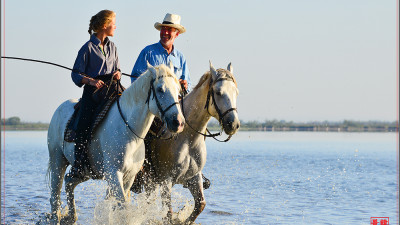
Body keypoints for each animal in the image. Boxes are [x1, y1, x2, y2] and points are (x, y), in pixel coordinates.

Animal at [47, 62, 184, 224]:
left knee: (69, 182)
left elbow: (116, 206)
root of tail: (59, 109)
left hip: (85, 170)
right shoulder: (114, 174)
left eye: (178, 91)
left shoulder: (129, 177)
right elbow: (123, 207)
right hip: (57, 161)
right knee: (55, 196)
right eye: (160, 89)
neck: (129, 131)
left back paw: (71, 217)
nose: (178, 122)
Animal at [141, 62, 239, 224]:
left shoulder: (194, 178)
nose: (233, 124)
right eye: (218, 92)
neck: (188, 138)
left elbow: (200, 204)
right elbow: (168, 214)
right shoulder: (166, 181)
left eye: (236, 92)